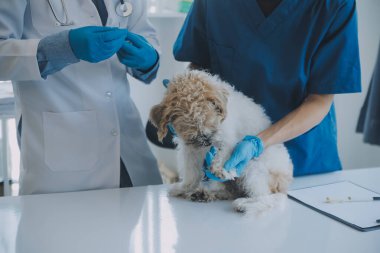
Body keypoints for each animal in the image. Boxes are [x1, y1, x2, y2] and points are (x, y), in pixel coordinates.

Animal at [150, 70, 292, 214]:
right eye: (188, 122)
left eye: (207, 116)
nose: (206, 139)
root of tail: (284, 185)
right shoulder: (190, 150)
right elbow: (191, 173)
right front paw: (184, 188)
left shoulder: (227, 139)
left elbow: (221, 155)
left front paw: (220, 169)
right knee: (231, 191)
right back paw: (204, 194)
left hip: (253, 166)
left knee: (267, 199)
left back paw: (244, 204)